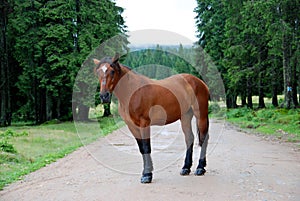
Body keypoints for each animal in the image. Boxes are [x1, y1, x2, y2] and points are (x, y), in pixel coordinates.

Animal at [93, 53, 209, 184]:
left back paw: (200, 168)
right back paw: (186, 168)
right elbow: (142, 149)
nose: (104, 96)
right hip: (185, 116)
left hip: (201, 115)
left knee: (204, 138)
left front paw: (147, 175)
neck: (132, 91)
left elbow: (146, 147)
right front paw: (146, 172)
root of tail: (199, 81)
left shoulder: (144, 124)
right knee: (189, 138)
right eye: (98, 72)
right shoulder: (132, 126)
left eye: (112, 71)